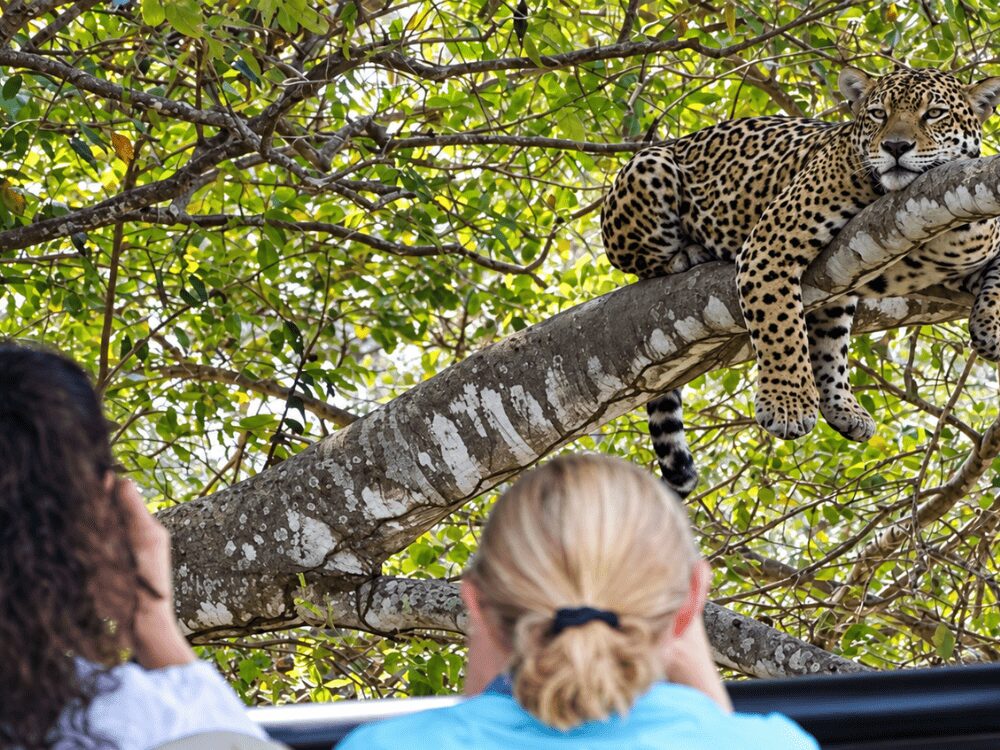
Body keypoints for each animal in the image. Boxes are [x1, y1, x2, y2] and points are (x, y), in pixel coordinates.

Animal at [601, 66, 1000, 497]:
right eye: (878, 114)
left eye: (935, 114)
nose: (895, 146)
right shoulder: (769, 245)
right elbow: (780, 328)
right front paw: (787, 406)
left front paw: (990, 330)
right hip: (649, 168)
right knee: (635, 256)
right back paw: (687, 254)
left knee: (831, 340)